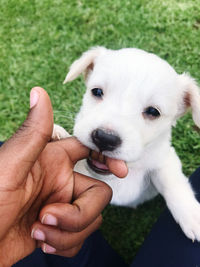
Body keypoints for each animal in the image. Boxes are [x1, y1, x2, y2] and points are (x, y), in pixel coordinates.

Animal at [54, 47, 200, 242]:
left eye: (153, 111)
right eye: (97, 91)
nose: (105, 138)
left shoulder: (165, 158)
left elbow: (172, 182)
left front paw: (193, 216)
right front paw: (57, 134)